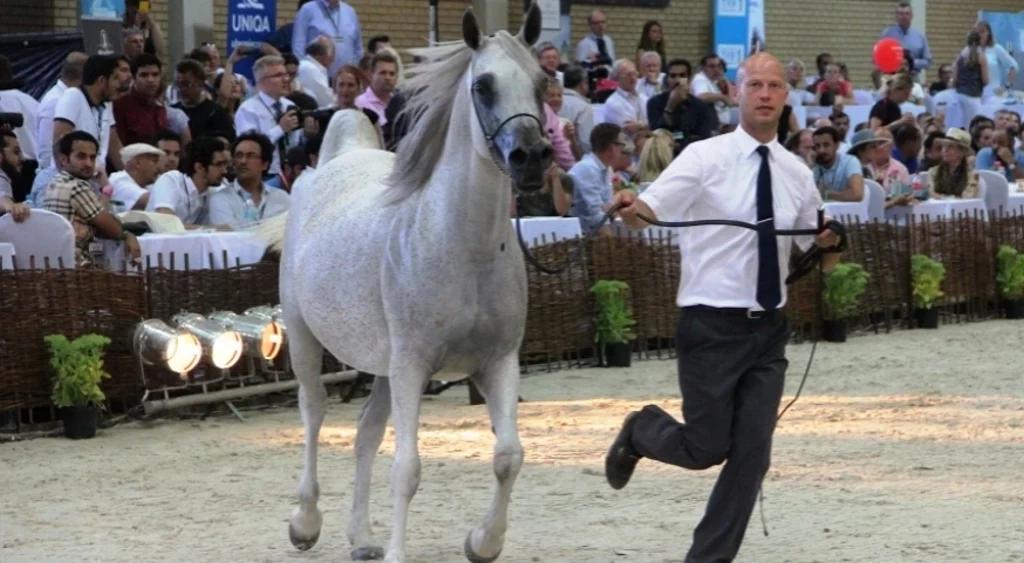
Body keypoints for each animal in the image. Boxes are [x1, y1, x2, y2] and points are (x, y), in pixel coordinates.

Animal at [268, 5, 552, 563]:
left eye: (541, 81)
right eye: (483, 86)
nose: (531, 157)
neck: (462, 248)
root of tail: (329, 164)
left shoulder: (497, 362)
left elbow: (508, 455)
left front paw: (482, 543)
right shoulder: (413, 366)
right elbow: (407, 469)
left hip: (382, 365)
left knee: (364, 433)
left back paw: (361, 538)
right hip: (308, 341)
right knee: (314, 414)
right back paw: (305, 523)